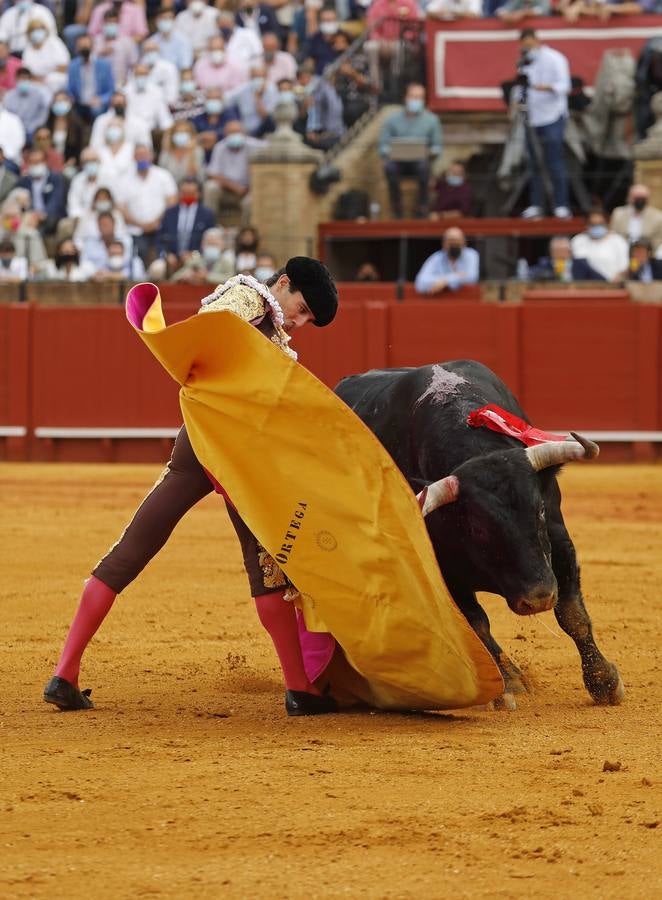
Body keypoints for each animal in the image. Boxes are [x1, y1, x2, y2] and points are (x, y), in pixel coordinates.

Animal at [338, 360, 628, 712]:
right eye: (477, 529)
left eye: (539, 511)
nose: (538, 598)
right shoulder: (445, 571)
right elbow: (477, 623)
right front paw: (501, 690)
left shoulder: (559, 544)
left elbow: (572, 614)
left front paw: (604, 682)